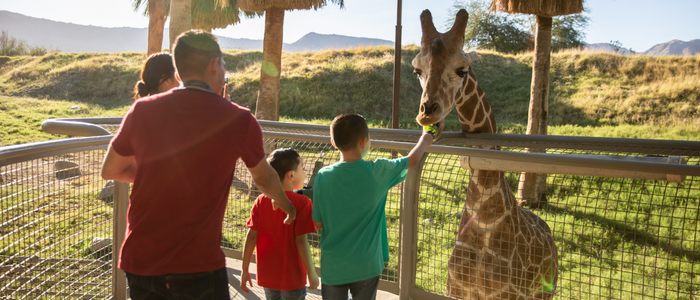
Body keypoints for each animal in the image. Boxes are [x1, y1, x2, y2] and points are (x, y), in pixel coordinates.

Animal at [412, 8, 560, 298]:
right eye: (417, 70)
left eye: (462, 70)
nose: (427, 113)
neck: (484, 223)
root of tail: (548, 229)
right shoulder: (457, 291)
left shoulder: (506, 294)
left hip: (546, 292)